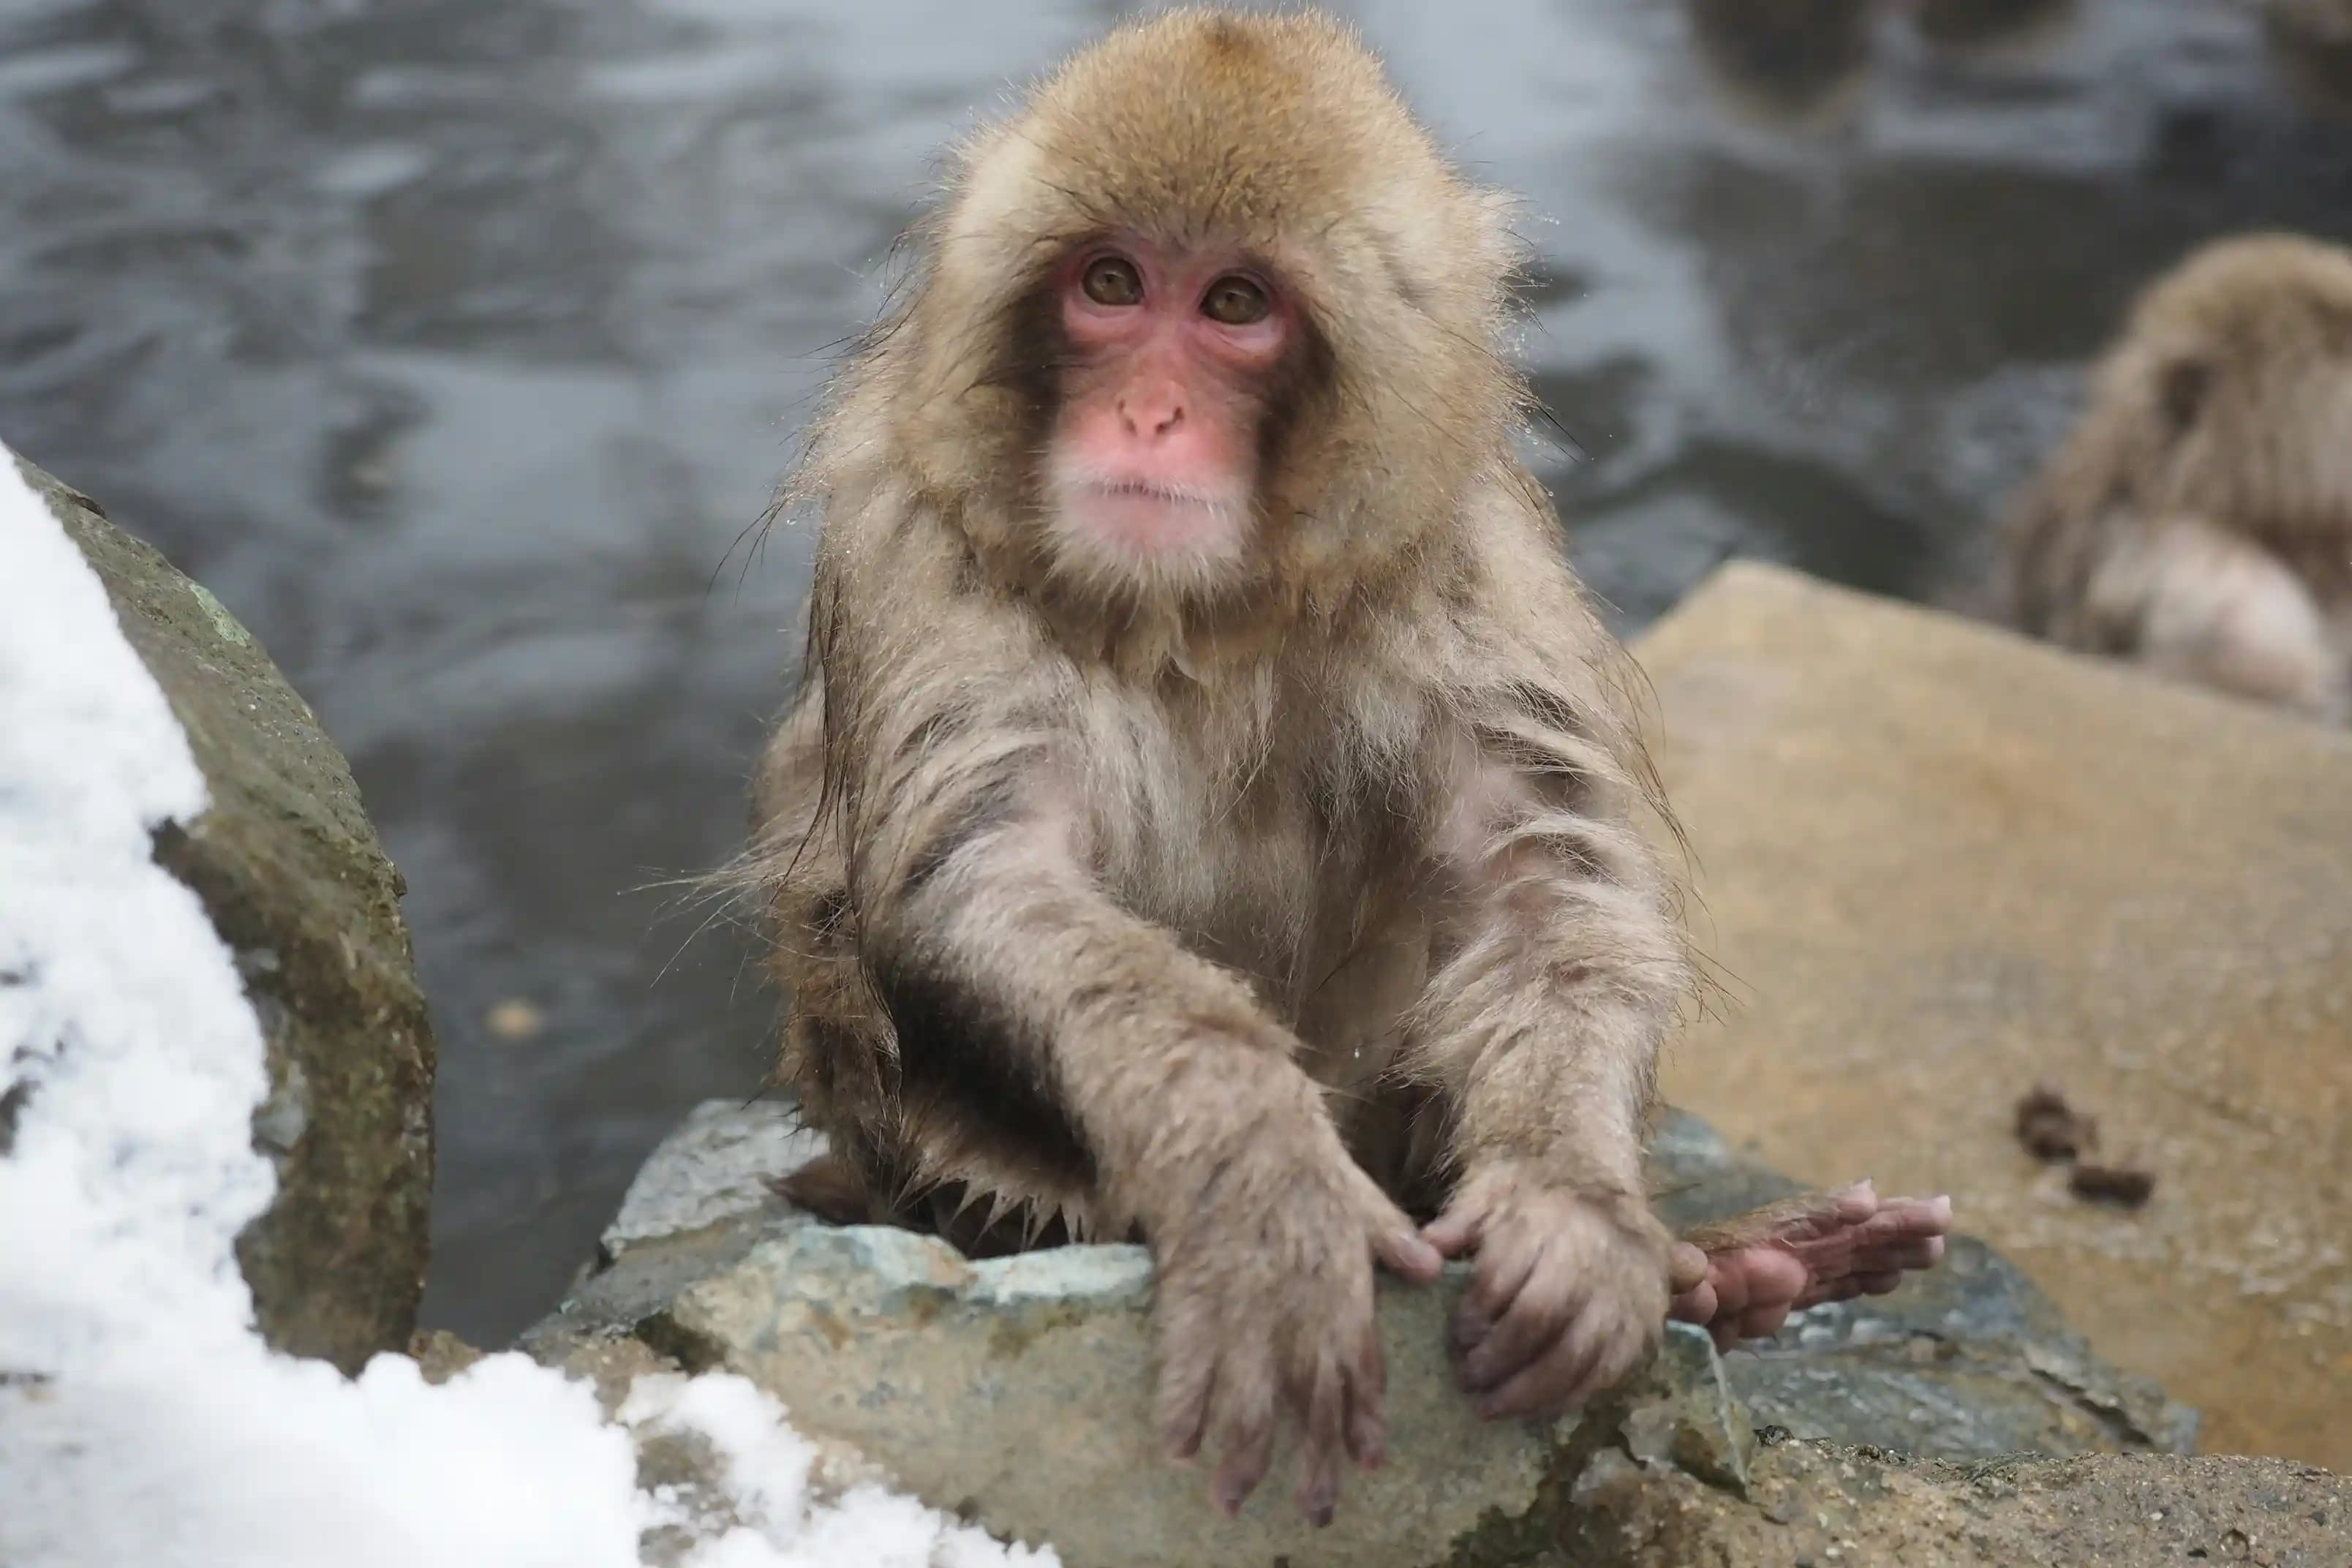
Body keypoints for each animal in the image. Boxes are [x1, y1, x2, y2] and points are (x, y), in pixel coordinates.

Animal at [742, 8, 1952, 1526]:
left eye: (1233, 306)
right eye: (1110, 283)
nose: (1146, 413)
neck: (1201, 613)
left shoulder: (1465, 560)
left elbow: (1544, 883)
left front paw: (1576, 1208)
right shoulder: (916, 534)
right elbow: (981, 870)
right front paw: (1264, 1186)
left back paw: (1730, 1272)